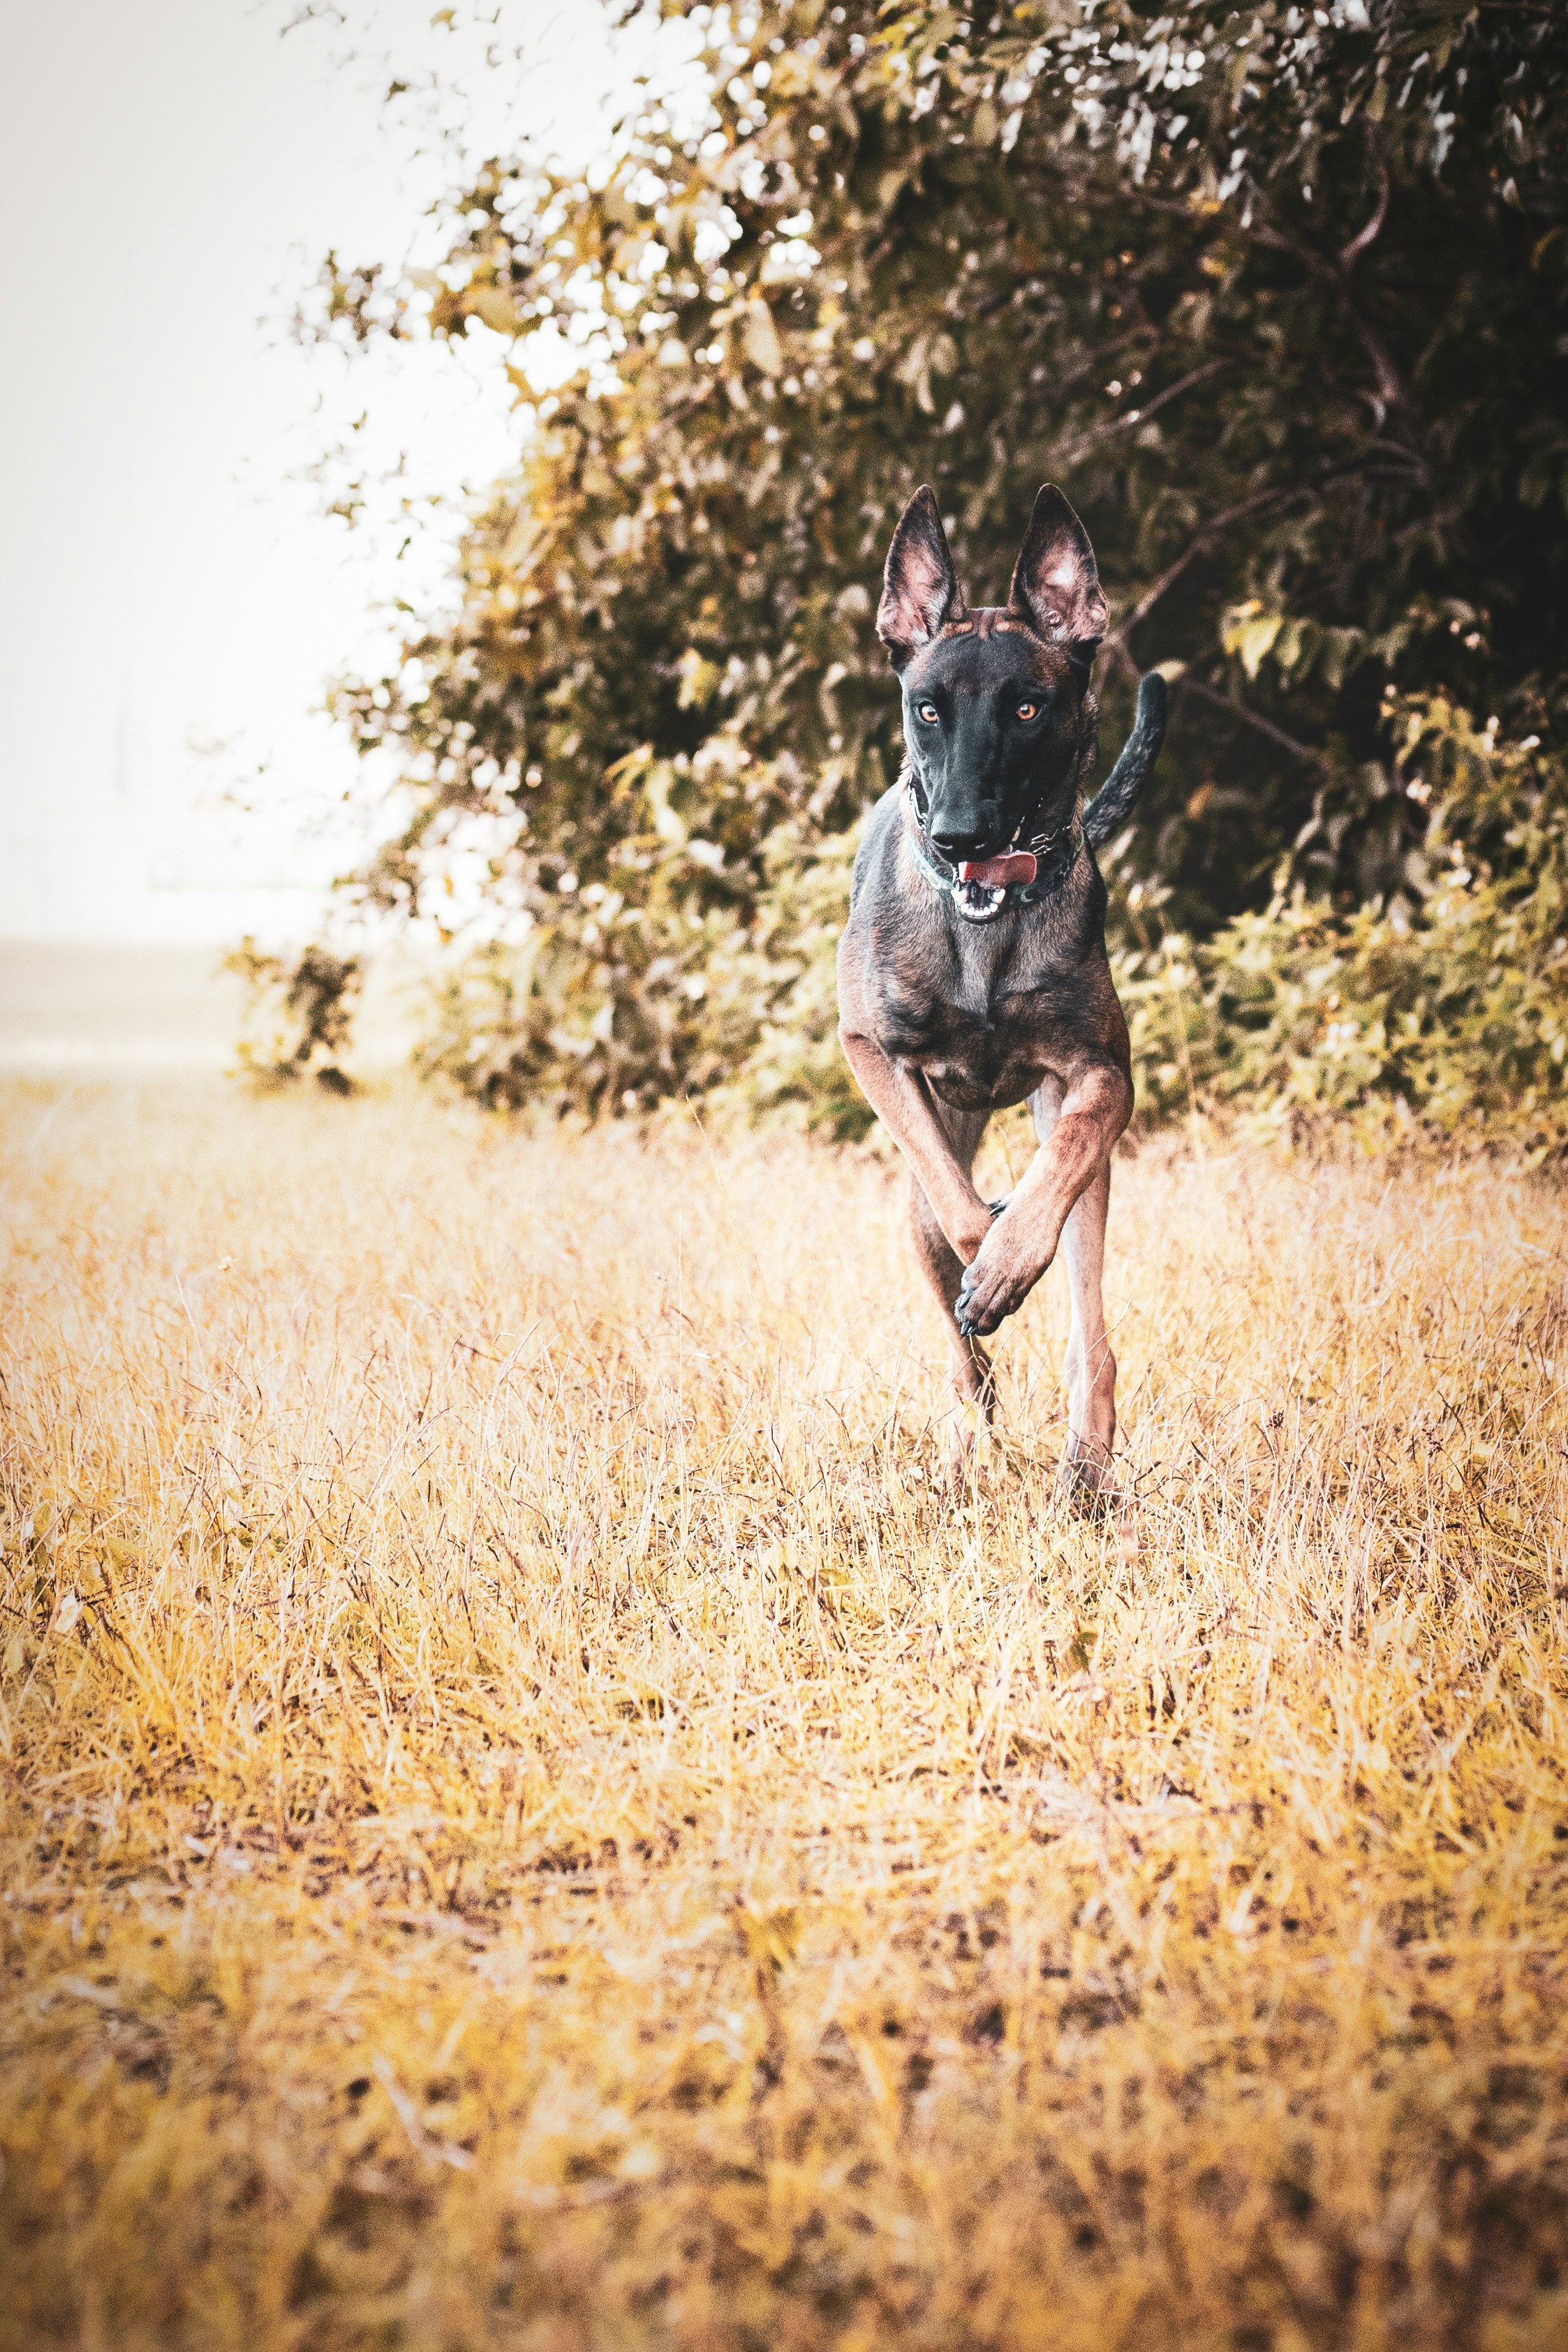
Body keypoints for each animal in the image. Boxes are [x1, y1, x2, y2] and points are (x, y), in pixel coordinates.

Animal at [846, 484, 1166, 1496]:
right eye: (926, 709)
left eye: (1026, 708)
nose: (959, 837)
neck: (982, 931)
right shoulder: (869, 1051)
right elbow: (957, 1208)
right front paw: (983, 1256)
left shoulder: (1101, 1075)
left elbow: (1057, 1166)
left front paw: (1009, 1253)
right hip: (911, 1207)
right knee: (962, 1356)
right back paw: (963, 1439)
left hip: (1090, 1186)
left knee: (1088, 1330)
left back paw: (1087, 1467)